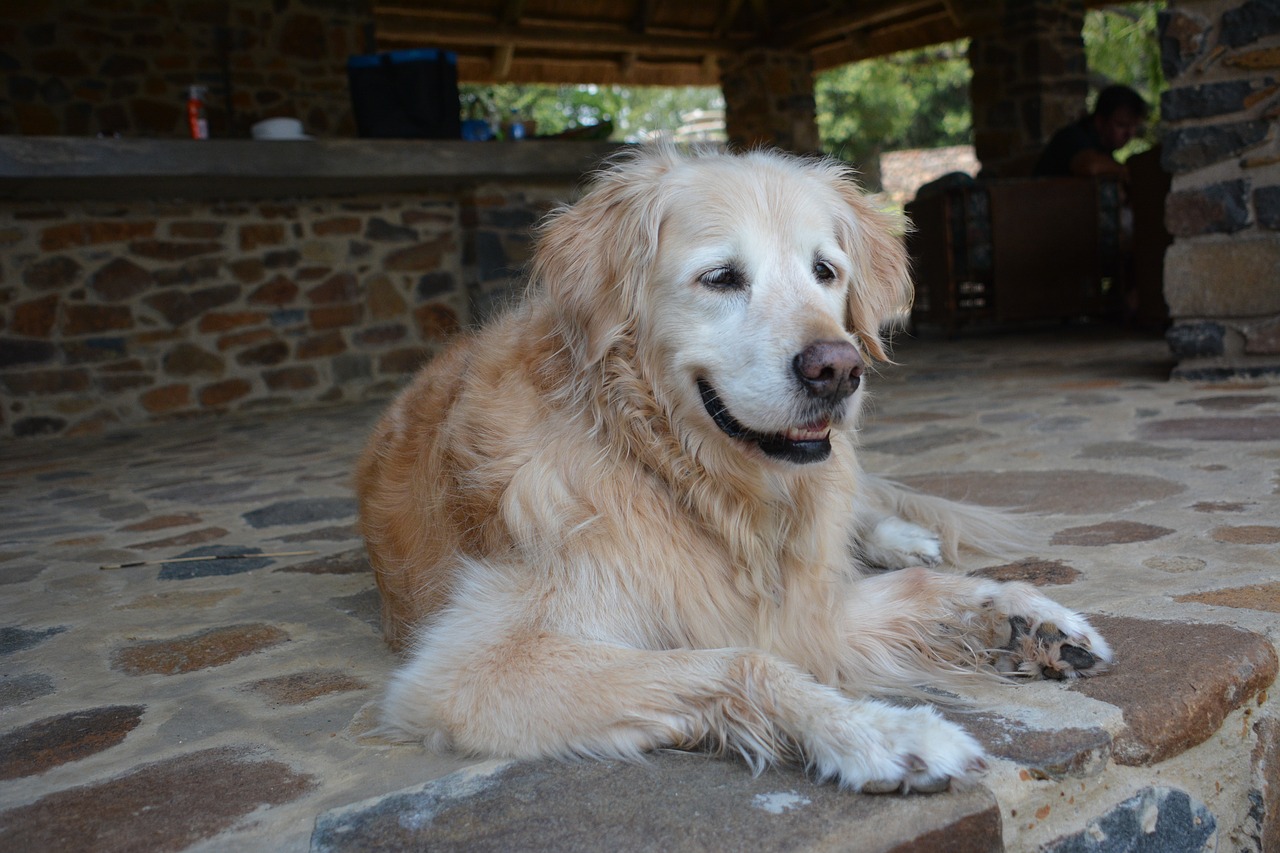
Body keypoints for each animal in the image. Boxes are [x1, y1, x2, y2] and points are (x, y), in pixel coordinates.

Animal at [358, 144, 1111, 788]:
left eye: (826, 271)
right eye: (721, 278)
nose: (838, 369)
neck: (687, 477)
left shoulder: (801, 598)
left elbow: (921, 589)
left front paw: (1023, 616)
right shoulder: (473, 668)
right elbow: (745, 661)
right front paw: (881, 733)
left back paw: (904, 537)